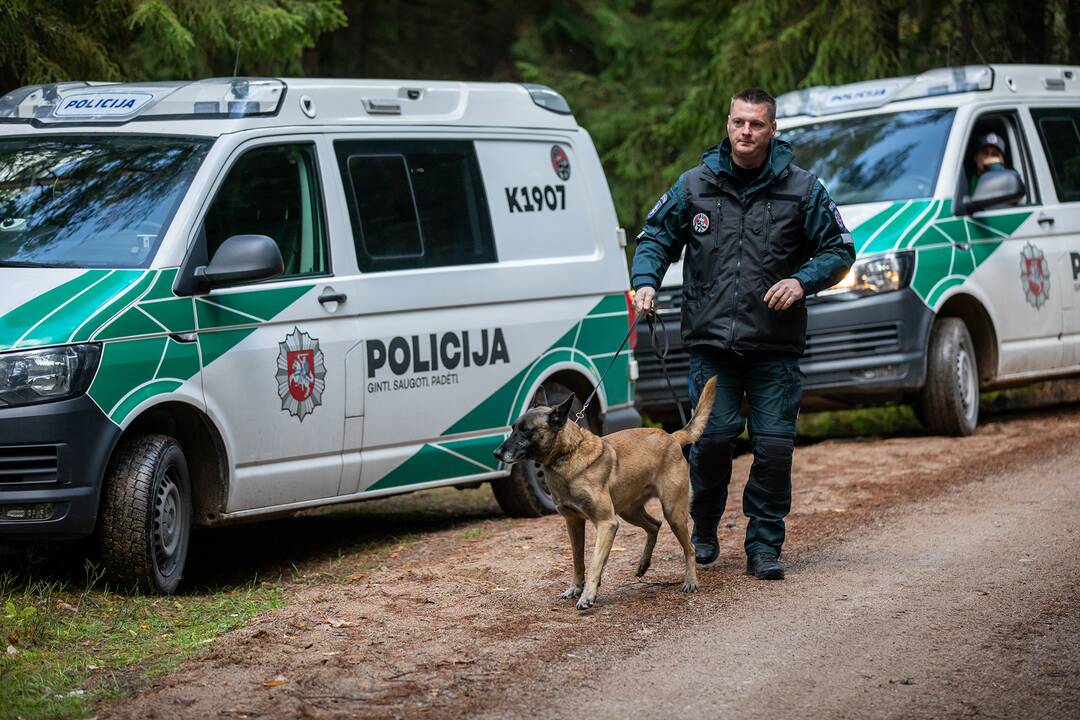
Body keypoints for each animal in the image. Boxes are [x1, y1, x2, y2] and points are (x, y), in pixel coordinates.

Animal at [494, 377, 717, 608]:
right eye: (513, 428)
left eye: (526, 430)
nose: (496, 453)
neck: (568, 454)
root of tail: (671, 436)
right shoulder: (574, 523)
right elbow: (578, 560)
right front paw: (576, 588)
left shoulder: (606, 523)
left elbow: (594, 562)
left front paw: (588, 595)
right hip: (629, 512)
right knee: (655, 525)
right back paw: (643, 564)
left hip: (673, 512)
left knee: (689, 547)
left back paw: (691, 581)